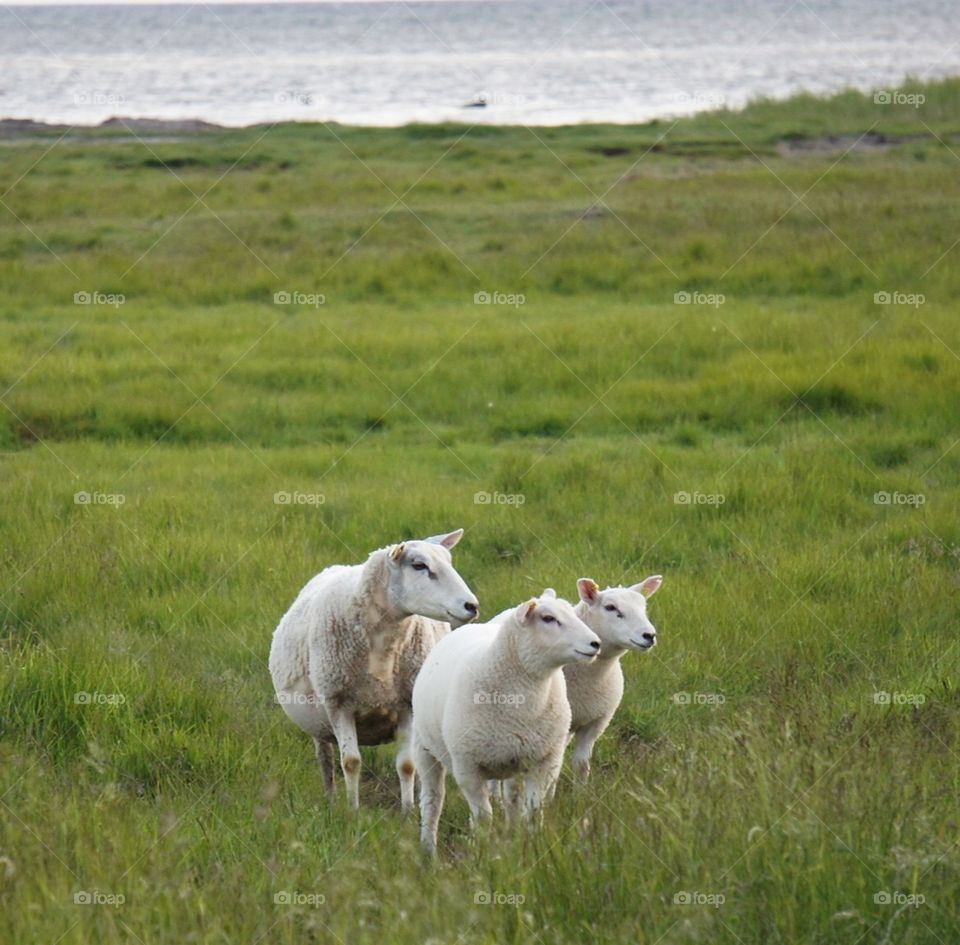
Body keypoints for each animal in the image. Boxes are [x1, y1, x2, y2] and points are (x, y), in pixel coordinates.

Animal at [268, 532, 478, 812]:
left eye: (449, 561)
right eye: (419, 565)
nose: (471, 606)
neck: (384, 647)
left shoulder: (406, 706)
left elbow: (407, 765)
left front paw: (408, 811)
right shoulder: (339, 704)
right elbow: (350, 762)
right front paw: (352, 810)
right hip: (317, 721)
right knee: (325, 758)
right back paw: (330, 799)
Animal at [412, 588, 600, 852]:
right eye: (548, 618)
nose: (596, 643)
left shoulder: (545, 760)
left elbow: (532, 811)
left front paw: (532, 846)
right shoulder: (467, 767)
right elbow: (484, 818)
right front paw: (483, 853)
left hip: (514, 756)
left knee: (511, 798)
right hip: (424, 748)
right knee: (432, 803)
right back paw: (428, 850)